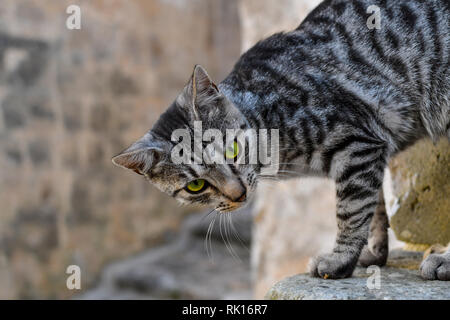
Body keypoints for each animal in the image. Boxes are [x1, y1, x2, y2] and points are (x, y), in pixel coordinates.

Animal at [113, 0, 450, 280]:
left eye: (232, 149)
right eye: (195, 186)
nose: (238, 194)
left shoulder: (357, 144)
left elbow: (350, 211)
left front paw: (340, 260)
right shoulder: (371, 150)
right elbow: (375, 208)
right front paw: (374, 254)